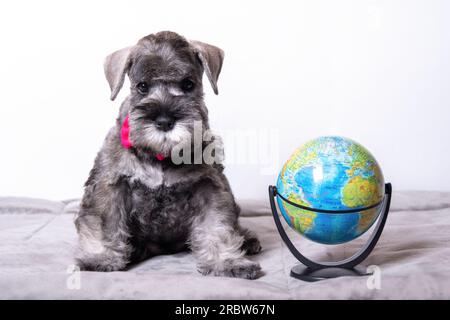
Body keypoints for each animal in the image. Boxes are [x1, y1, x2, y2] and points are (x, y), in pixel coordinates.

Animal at [75, 31, 262, 278]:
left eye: (188, 84)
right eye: (142, 86)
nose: (164, 121)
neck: (160, 156)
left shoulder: (210, 186)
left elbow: (217, 225)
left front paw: (226, 262)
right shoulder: (109, 186)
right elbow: (105, 223)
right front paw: (100, 258)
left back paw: (248, 240)